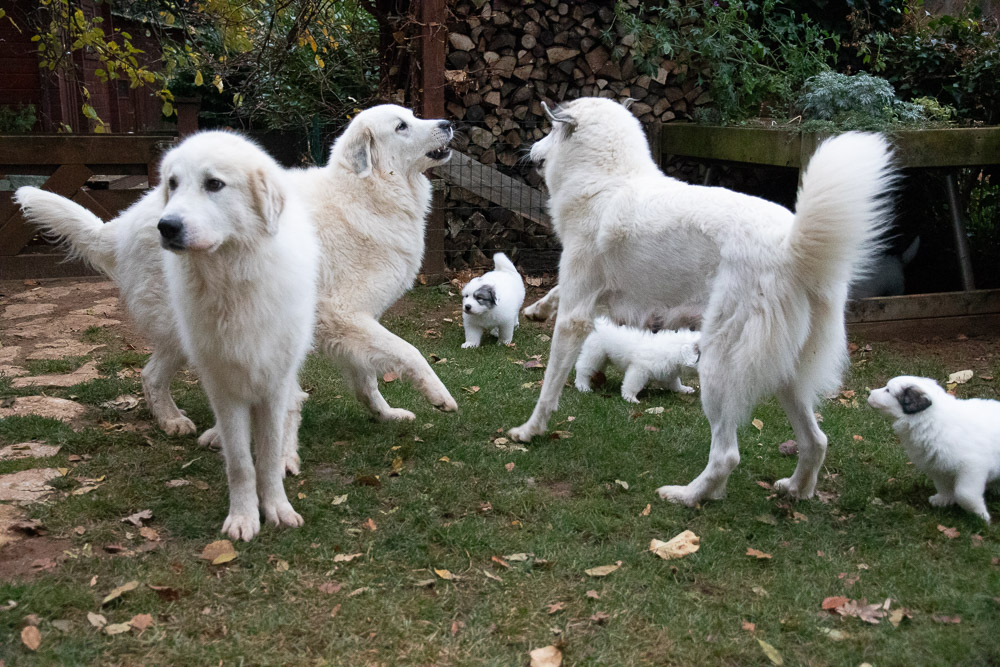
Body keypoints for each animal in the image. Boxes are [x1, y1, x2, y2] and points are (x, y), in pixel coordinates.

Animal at [17, 132, 318, 544]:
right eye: (173, 183)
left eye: (214, 184)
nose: (168, 227)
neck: (234, 277)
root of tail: (127, 220)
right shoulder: (221, 381)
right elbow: (241, 463)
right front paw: (243, 517)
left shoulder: (273, 375)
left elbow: (268, 455)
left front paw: (276, 507)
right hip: (178, 333)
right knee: (151, 375)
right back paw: (172, 420)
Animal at [508, 98, 900, 506]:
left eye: (551, 130)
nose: (530, 151)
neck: (609, 180)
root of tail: (791, 246)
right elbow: (555, 293)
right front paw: (537, 308)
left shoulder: (576, 316)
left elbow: (549, 386)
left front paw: (530, 431)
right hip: (786, 374)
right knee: (816, 440)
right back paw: (796, 490)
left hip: (716, 365)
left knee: (727, 454)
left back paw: (688, 495)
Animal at [868, 376, 1000, 520]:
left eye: (888, 390)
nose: (869, 393)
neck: (930, 420)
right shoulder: (938, 467)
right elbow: (943, 486)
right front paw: (943, 500)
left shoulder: (972, 467)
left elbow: (964, 494)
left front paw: (981, 516)